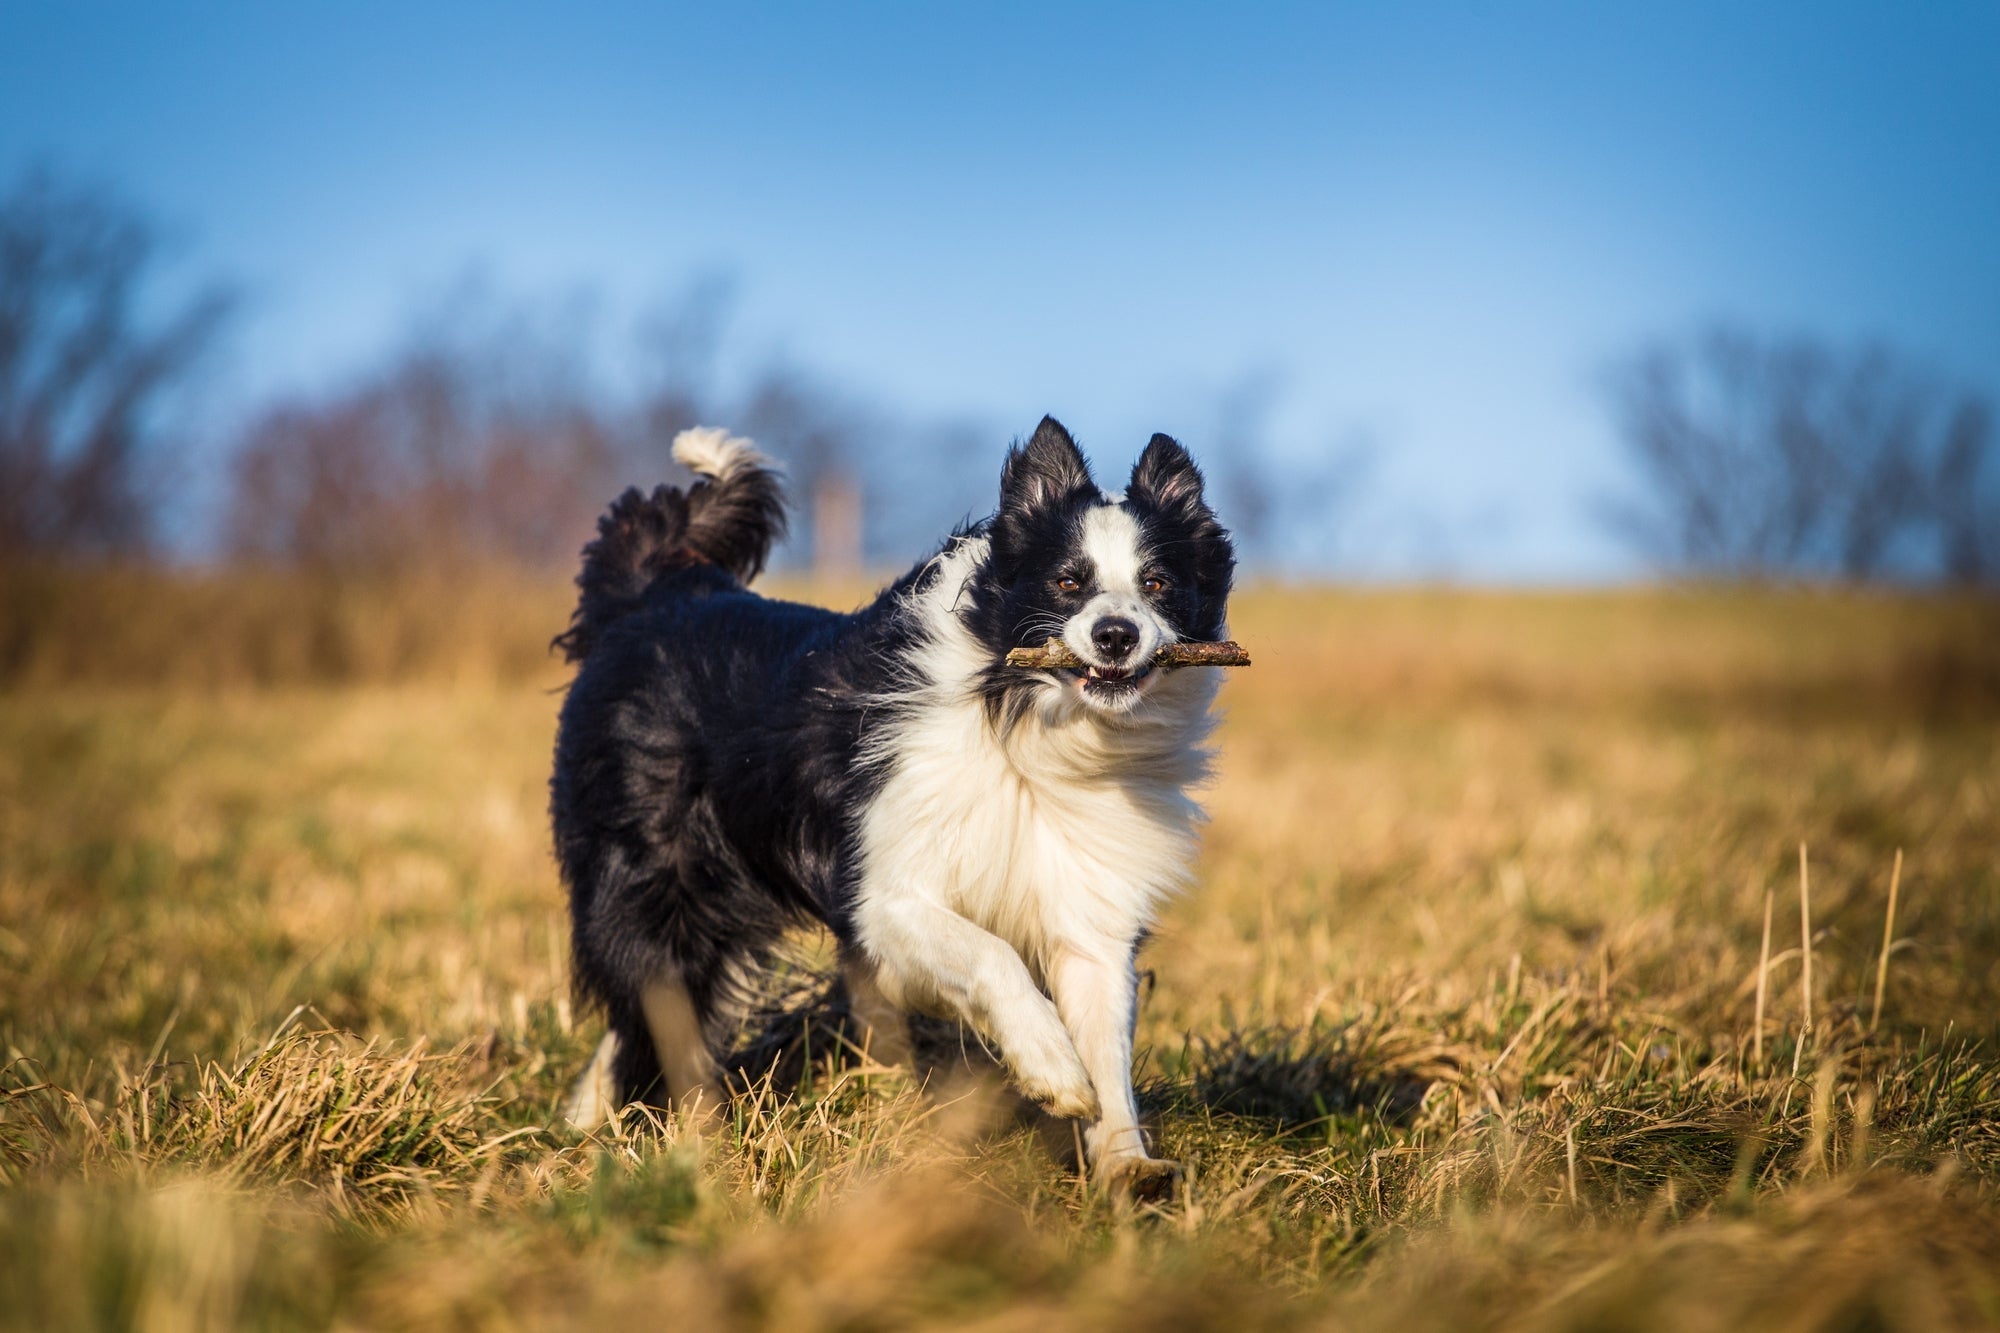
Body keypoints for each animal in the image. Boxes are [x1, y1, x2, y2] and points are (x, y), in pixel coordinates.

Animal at [552, 416, 1232, 1192]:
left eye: (1157, 583)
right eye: (1068, 581)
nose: (1116, 635)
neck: (1027, 725)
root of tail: (658, 593)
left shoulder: (1090, 908)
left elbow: (1107, 1043)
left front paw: (1127, 1165)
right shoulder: (883, 897)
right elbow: (993, 955)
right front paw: (1053, 1069)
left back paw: (594, 1126)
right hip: (656, 878)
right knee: (650, 999)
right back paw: (665, 1133)